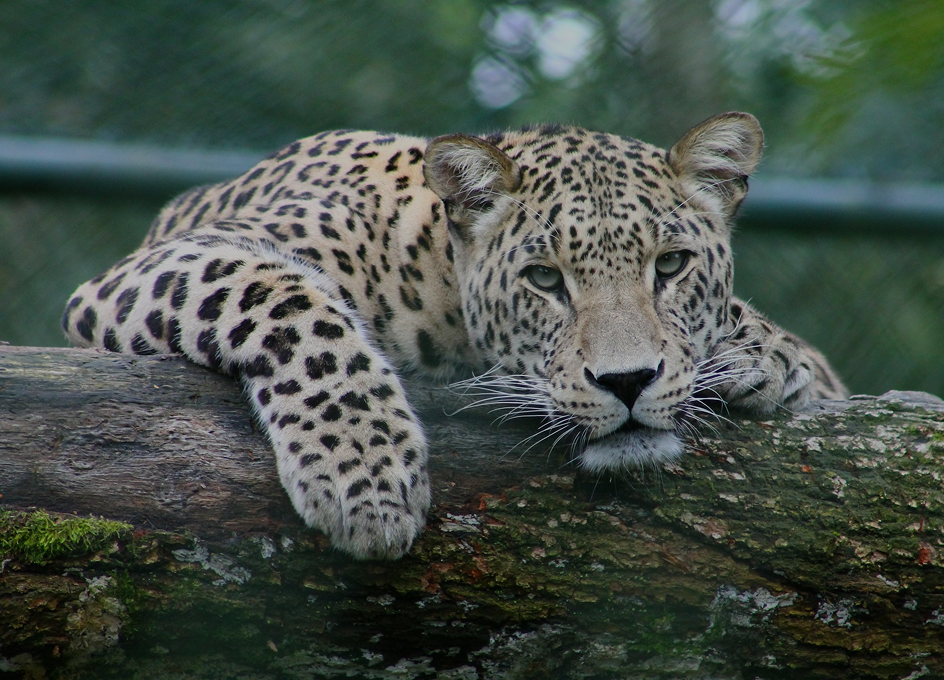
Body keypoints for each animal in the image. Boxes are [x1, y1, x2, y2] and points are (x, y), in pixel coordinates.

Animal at [62, 111, 848, 560]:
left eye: (673, 265)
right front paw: (366, 476)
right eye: (544, 279)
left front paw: (766, 354)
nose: (627, 382)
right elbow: (289, 302)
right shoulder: (158, 266)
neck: (434, 275)